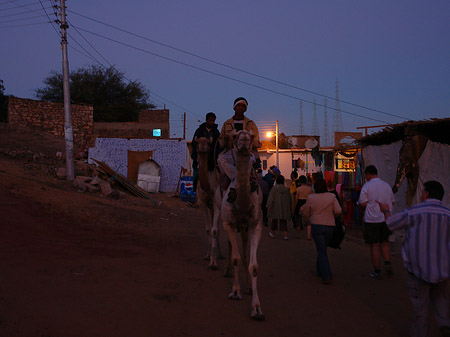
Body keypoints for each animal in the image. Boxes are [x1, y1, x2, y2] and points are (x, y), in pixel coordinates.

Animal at [214, 129, 264, 320]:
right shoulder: (229, 222)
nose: (244, 140)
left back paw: (248, 286)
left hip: (243, 227)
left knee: (243, 249)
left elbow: (253, 265)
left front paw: (256, 308)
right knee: (227, 242)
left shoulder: (255, 224)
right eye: (235, 136)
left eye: (252, 136)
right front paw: (235, 291)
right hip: (220, 210)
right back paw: (225, 269)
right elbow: (235, 257)